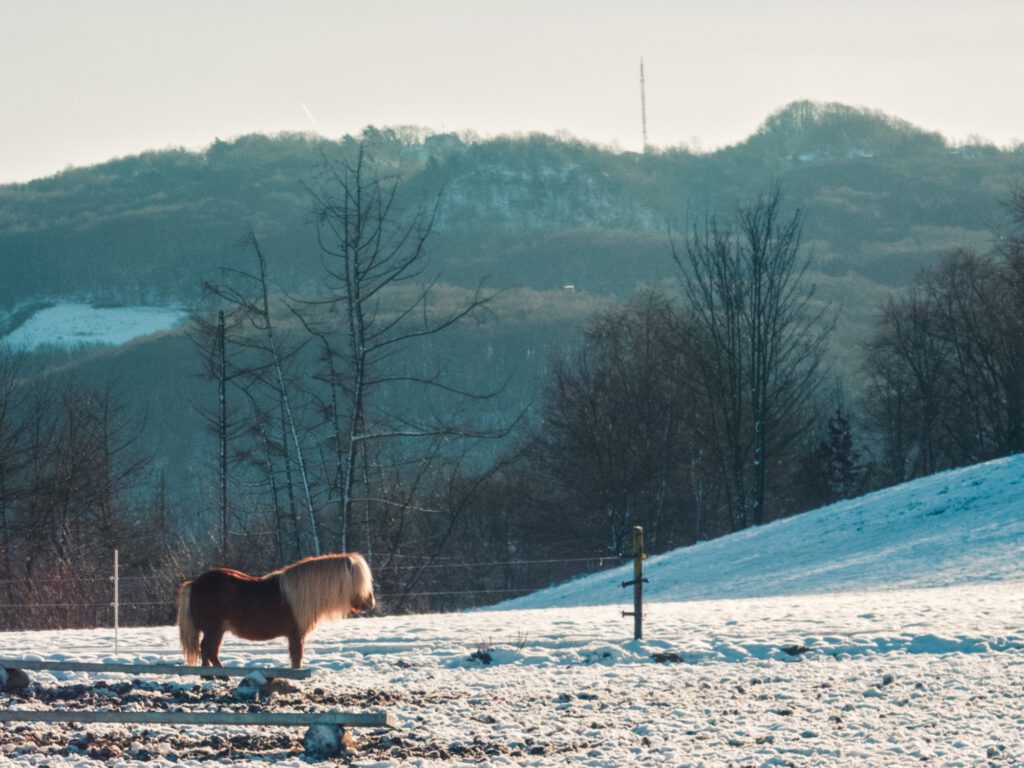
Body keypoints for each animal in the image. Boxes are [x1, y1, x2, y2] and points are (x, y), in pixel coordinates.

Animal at [177, 552, 376, 667]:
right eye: (357, 580)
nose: (370, 604)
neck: (301, 594)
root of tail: (194, 583)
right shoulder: (296, 635)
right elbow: (297, 658)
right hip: (214, 629)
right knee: (208, 650)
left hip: (215, 631)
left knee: (207, 651)